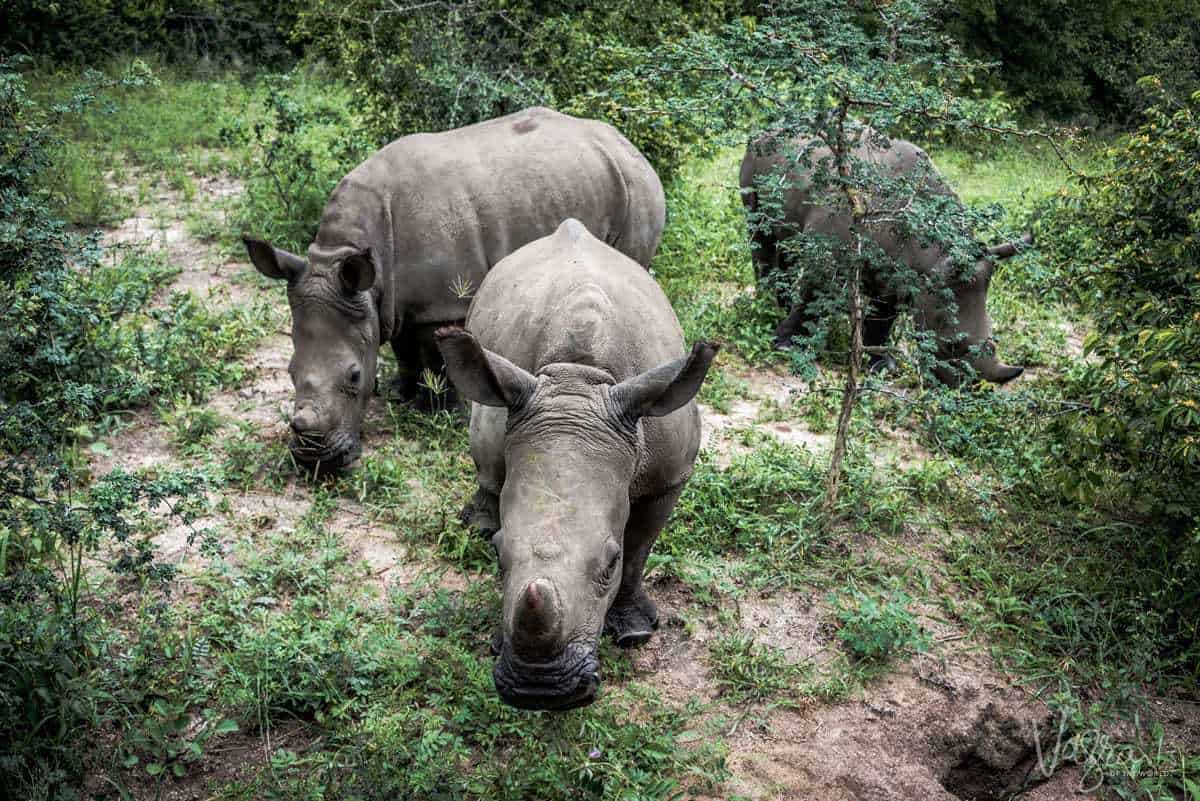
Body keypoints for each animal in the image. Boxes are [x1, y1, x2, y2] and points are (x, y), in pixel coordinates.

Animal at [242, 105, 667, 470]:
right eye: (288, 371)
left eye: (354, 377)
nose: (315, 462)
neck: (345, 253)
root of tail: (627, 144)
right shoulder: (392, 301)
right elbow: (403, 348)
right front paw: (402, 394)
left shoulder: (440, 304)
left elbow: (437, 358)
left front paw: (440, 412)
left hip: (638, 190)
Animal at [439, 217, 715, 705]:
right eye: (499, 557)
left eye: (609, 563)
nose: (540, 691)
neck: (579, 380)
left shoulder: (670, 474)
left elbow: (640, 547)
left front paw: (634, 631)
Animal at [739, 130, 1032, 386]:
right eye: (952, 345)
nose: (967, 388)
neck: (934, 254)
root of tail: (768, 130)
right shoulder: (826, 252)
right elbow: (812, 294)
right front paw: (785, 346)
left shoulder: (899, 274)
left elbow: (883, 318)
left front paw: (881, 366)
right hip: (755, 161)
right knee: (761, 233)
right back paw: (766, 307)